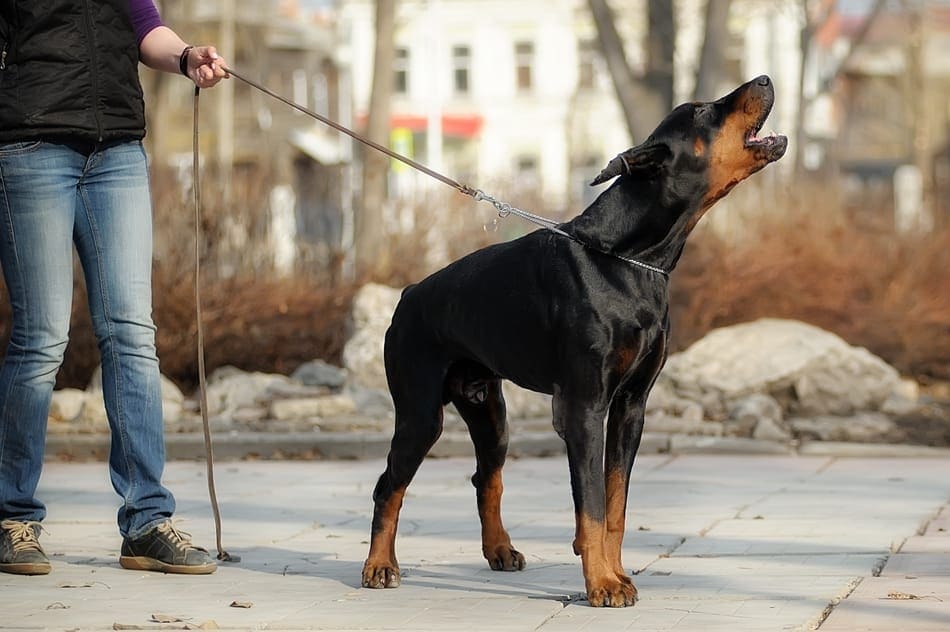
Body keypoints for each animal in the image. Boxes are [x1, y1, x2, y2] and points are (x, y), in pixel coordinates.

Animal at [360, 75, 784, 608]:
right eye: (704, 110)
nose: (764, 79)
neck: (629, 259)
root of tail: (409, 293)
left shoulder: (630, 407)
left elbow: (615, 503)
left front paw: (616, 573)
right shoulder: (584, 408)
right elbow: (593, 505)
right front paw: (601, 583)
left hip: (490, 412)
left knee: (486, 477)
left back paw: (500, 550)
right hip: (420, 414)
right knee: (387, 485)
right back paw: (379, 565)